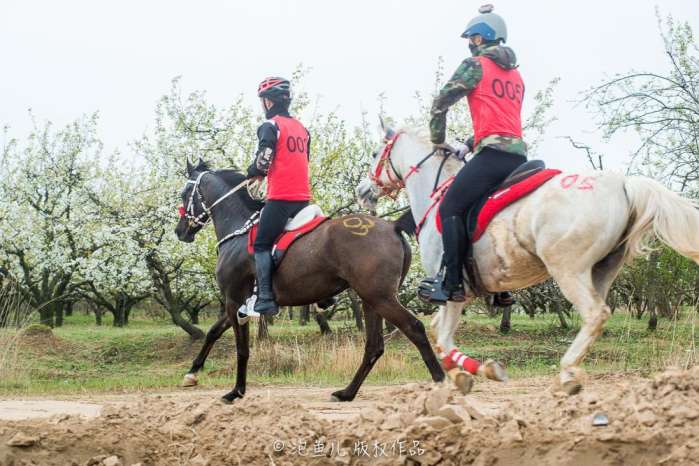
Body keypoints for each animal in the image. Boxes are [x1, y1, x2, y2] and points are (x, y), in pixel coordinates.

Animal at [178, 160, 446, 400]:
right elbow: (213, 332)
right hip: (371, 300)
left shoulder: (233, 301)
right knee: (374, 346)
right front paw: (192, 373)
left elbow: (241, 349)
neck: (239, 229)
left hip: (380, 298)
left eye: (183, 194)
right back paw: (347, 393)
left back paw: (441, 381)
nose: (179, 231)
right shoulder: (240, 304)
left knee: (414, 328)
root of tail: (391, 226)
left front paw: (236, 391)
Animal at [358, 124, 699, 394]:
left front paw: (478, 371)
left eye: (374, 153)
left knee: (595, 313)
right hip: (601, 271)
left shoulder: (453, 290)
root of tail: (622, 184)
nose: (363, 191)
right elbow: (437, 333)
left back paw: (566, 373)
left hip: (567, 270)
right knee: (597, 314)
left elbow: (443, 335)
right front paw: (463, 371)